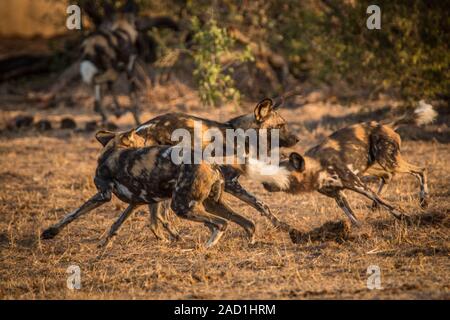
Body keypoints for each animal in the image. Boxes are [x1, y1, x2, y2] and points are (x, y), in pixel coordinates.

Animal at [40, 129, 256, 248]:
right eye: (143, 140)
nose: (162, 142)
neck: (112, 150)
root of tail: (211, 163)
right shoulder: (136, 202)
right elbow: (116, 225)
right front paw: (103, 243)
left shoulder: (103, 195)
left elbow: (73, 214)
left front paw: (51, 232)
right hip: (210, 205)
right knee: (248, 223)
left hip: (182, 206)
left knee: (221, 224)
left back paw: (206, 247)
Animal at [135, 97, 300, 240]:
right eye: (279, 126)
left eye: (284, 124)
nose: (298, 139)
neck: (244, 137)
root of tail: (141, 128)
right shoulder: (230, 182)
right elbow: (259, 203)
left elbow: (256, 208)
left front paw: (277, 226)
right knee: (162, 215)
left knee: (155, 218)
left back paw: (169, 238)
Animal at [262, 101, 438, 226]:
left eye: (279, 175)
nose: (264, 184)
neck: (318, 168)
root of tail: (385, 125)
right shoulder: (339, 196)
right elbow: (353, 217)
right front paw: (361, 232)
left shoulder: (360, 187)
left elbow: (388, 205)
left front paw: (404, 216)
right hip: (371, 166)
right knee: (387, 176)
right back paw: (375, 207)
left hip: (388, 162)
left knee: (421, 170)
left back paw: (424, 200)